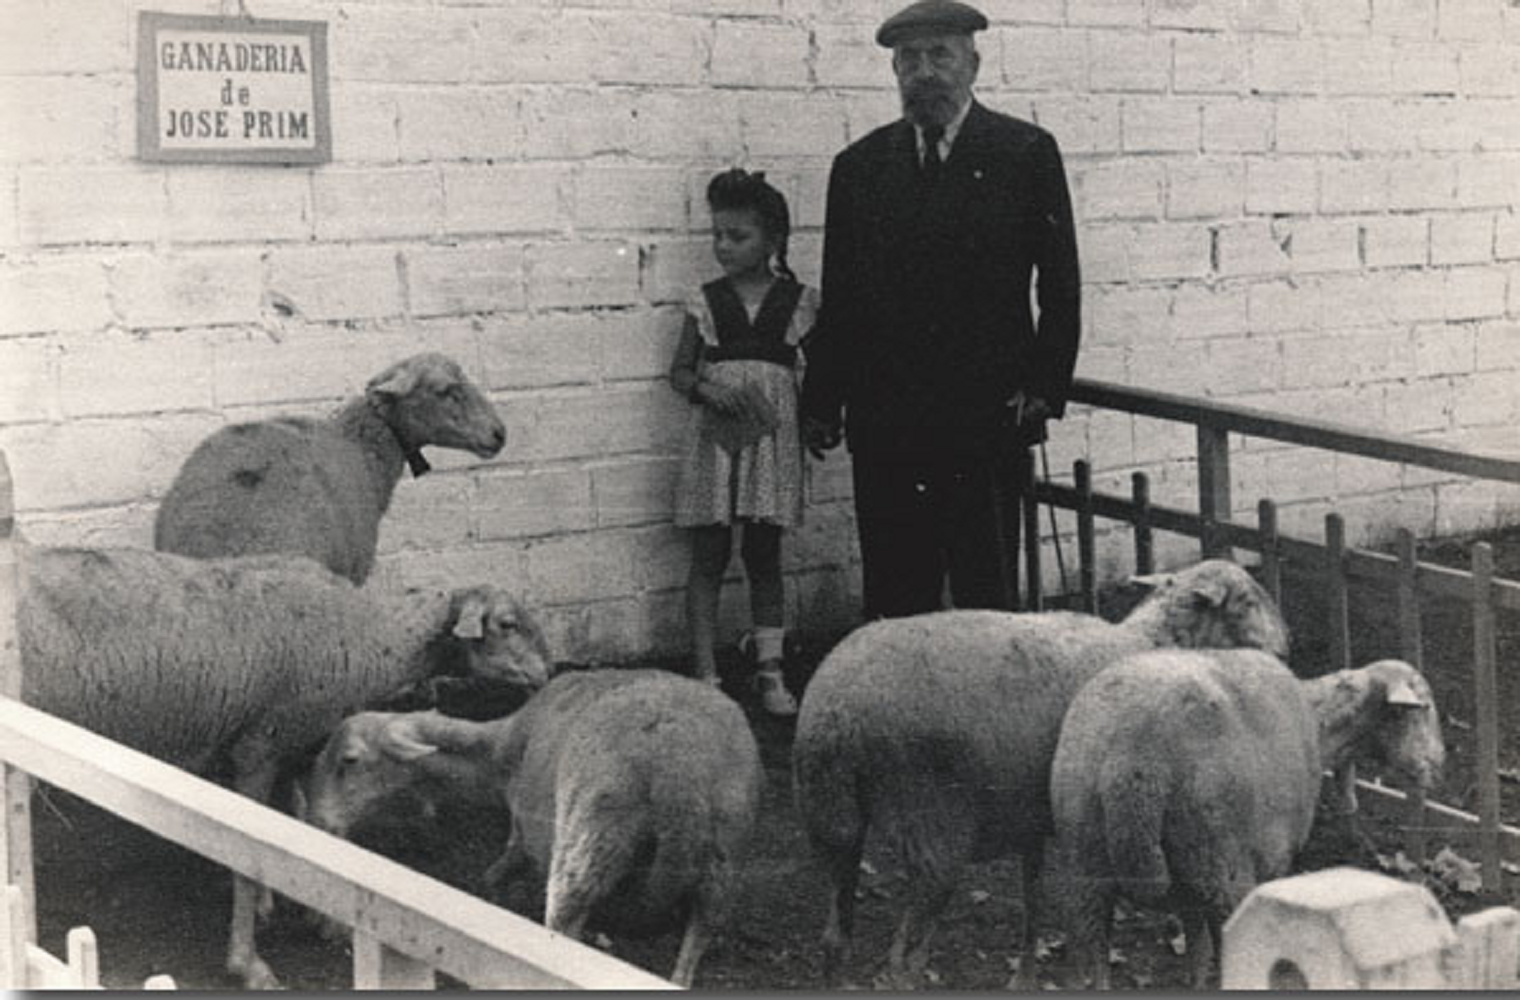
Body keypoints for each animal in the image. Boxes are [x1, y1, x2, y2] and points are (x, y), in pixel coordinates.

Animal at [16, 537, 553, 978]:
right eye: (507, 624)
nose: (547, 673)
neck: (365, 631)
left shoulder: (301, 744)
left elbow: (306, 831)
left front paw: (313, 912)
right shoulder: (258, 746)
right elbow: (250, 857)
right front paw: (248, 961)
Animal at [304, 665, 766, 984]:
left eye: (349, 760)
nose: (318, 820)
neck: (503, 749)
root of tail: (679, 769)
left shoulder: (528, 827)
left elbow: (504, 861)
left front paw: (488, 890)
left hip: (587, 841)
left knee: (563, 924)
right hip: (724, 859)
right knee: (696, 941)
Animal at [790, 556, 1288, 984]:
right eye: (1246, 601)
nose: (1285, 648)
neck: (1151, 643)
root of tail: (833, 715)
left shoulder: (1031, 814)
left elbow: (1033, 896)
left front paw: (1026, 973)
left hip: (831, 819)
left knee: (835, 938)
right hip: (932, 819)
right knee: (901, 962)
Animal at [1051, 650, 1440, 984]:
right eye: (1422, 708)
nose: (1438, 767)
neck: (1320, 725)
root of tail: (1134, 756)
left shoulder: (1189, 882)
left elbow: (1197, 949)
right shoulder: (1271, 856)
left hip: (1087, 856)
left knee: (1093, 955)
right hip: (1219, 859)